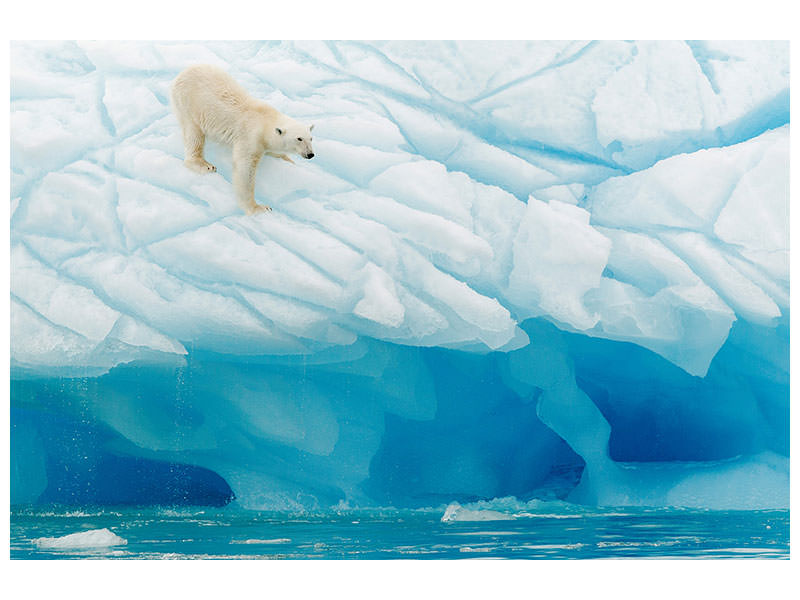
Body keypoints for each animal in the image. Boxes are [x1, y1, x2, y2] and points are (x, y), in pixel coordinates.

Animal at [171, 64, 315, 214]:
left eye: (311, 138)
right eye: (299, 138)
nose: (310, 154)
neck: (265, 120)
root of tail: (181, 75)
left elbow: (273, 151)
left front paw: (289, 160)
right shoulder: (250, 137)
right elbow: (245, 170)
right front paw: (259, 208)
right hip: (189, 104)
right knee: (194, 134)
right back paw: (205, 165)